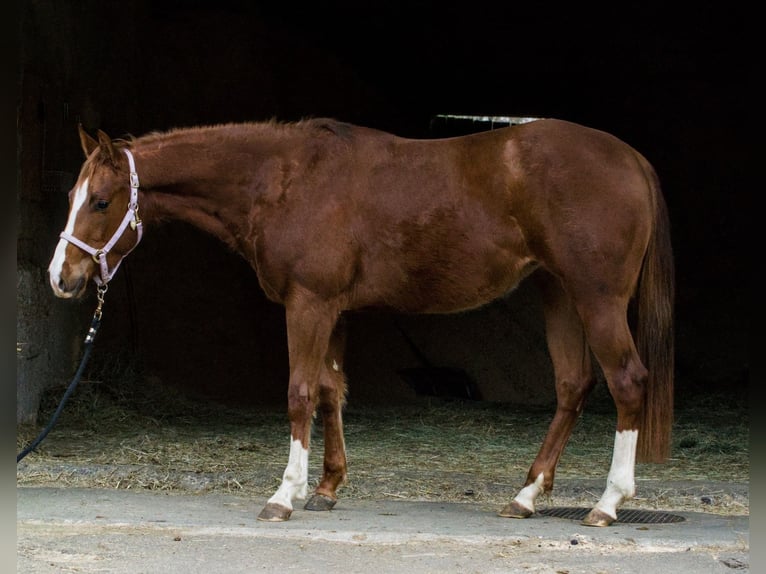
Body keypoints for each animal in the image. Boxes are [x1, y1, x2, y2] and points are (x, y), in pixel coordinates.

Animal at [47, 117, 674, 526]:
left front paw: (285, 495)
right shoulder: (334, 310)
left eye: (100, 201)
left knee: (627, 382)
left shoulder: (308, 304)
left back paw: (607, 504)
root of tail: (634, 160)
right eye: (72, 193)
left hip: (596, 299)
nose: (61, 277)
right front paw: (326, 488)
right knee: (572, 386)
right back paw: (526, 497)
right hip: (559, 295)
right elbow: (330, 392)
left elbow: (300, 393)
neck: (286, 180)